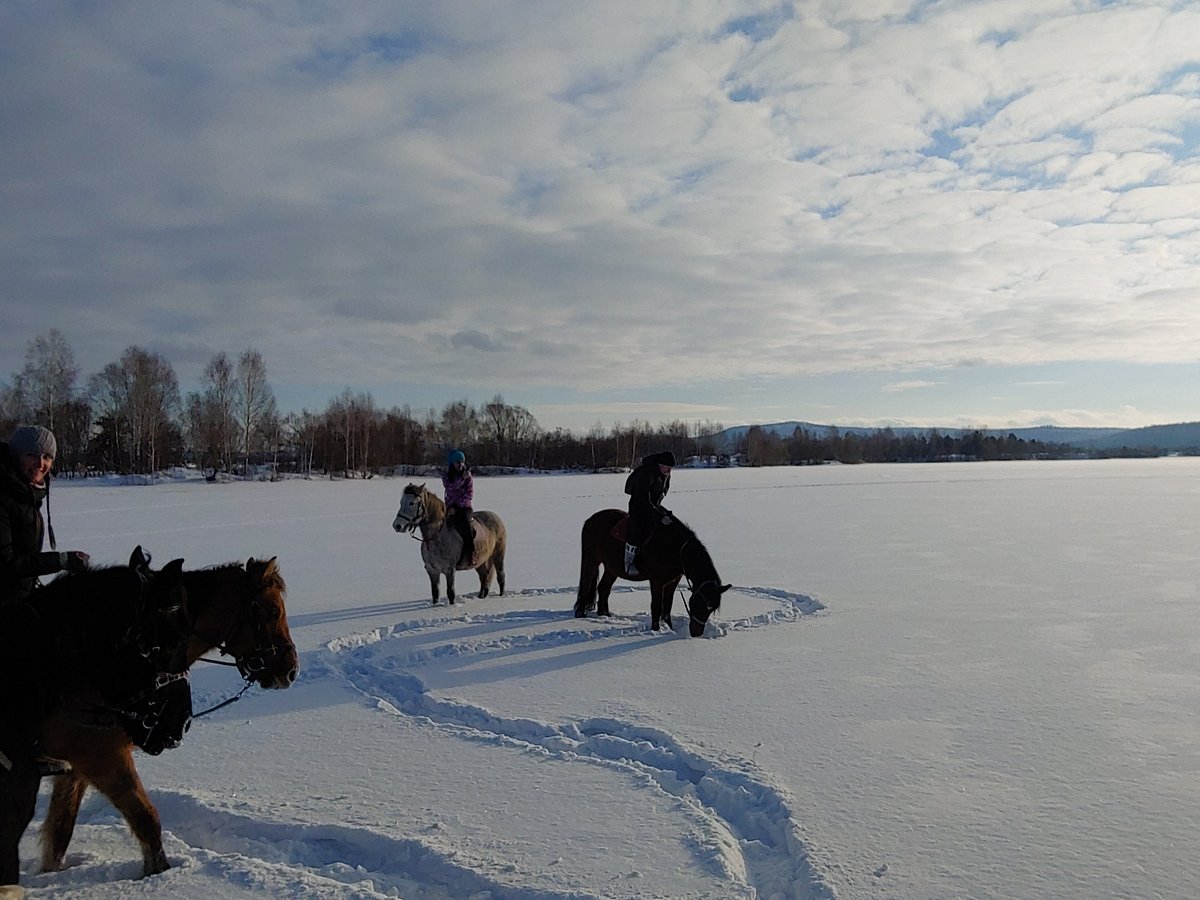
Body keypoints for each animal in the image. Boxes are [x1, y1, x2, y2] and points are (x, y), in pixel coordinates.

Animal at [32, 556, 297, 888]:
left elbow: (60, 830)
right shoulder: (102, 758)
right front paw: (158, 874)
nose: (291, 670)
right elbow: (147, 820)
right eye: (272, 610)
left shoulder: (77, 766)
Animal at [573, 511, 729, 638]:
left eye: (711, 609)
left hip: (612, 568)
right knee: (586, 585)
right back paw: (580, 614)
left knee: (603, 588)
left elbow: (667, 606)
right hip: (591, 560)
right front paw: (656, 629)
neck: (674, 547)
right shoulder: (657, 581)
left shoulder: (673, 581)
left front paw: (669, 628)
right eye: (699, 603)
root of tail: (591, 520)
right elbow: (657, 606)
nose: (697, 633)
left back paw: (604, 615)